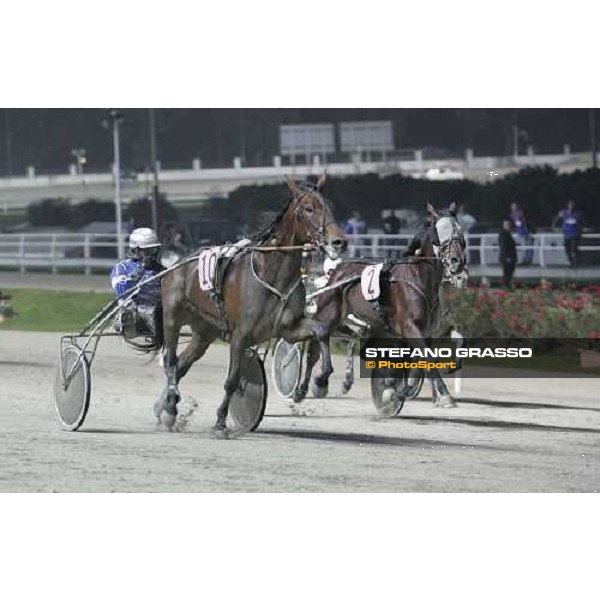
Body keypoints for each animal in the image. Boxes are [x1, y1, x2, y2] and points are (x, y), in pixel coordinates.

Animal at [151, 173, 346, 436]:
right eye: (309, 208)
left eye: (330, 206)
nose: (339, 241)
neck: (273, 275)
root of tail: (176, 264)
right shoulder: (240, 334)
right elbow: (232, 380)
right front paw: (220, 421)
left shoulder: (289, 328)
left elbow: (321, 330)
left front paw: (321, 378)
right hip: (173, 318)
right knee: (171, 362)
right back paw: (170, 409)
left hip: (204, 332)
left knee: (182, 364)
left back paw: (165, 406)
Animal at [296, 202, 468, 412]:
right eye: (439, 232)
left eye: (459, 232)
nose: (457, 263)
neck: (418, 277)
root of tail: (336, 272)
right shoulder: (409, 327)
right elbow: (427, 358)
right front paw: (444, 395)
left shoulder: (431, 330)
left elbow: (453, 342)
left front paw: (405, 390)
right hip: (327, 315)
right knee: (315, 349)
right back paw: (311, 385)